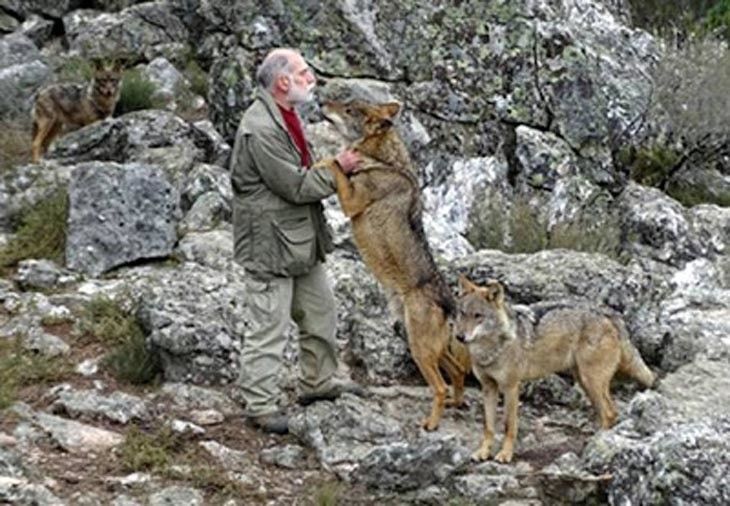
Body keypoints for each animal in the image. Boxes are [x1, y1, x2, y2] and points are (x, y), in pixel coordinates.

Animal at [456, 276, 656, 462]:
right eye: (463, 313)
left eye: (478, 316)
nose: (459, 337)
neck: (490, 350)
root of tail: (609, 314)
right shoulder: (488, 387)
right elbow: (488, 426)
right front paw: (483, 452)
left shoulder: (511, 387)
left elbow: (508, 426)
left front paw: (505, 455)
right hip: (584, 382)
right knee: (608, 414)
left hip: (591, 381)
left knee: (610, 413)